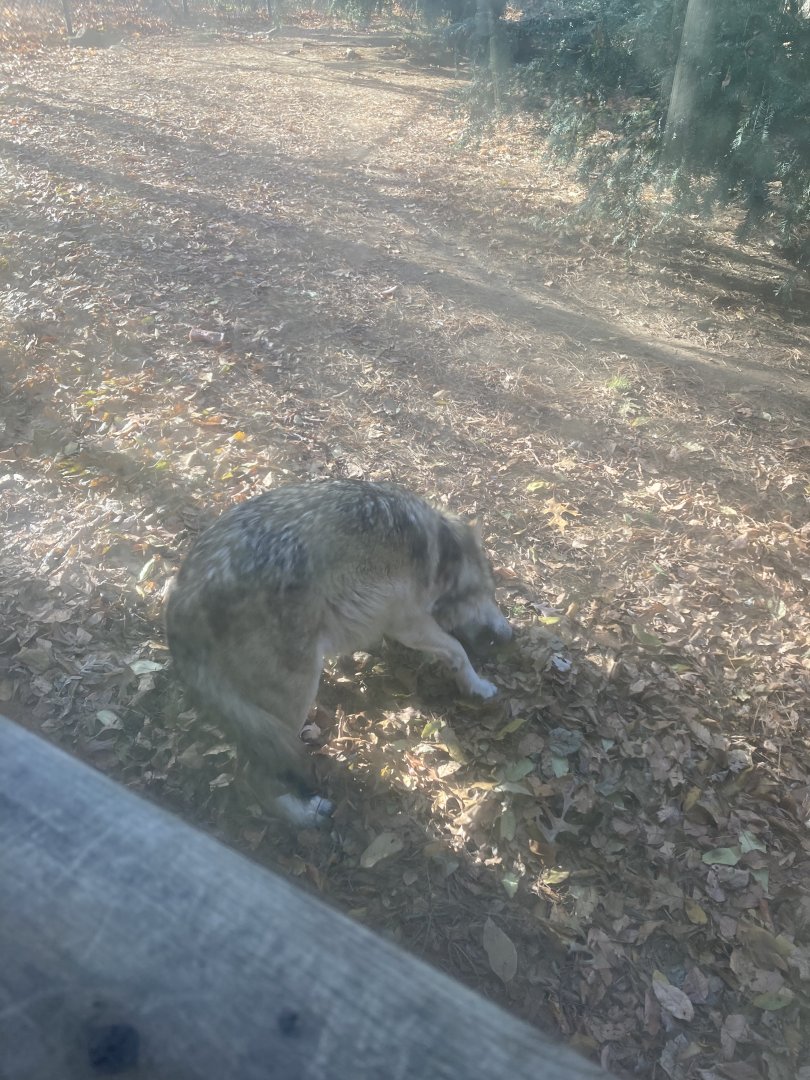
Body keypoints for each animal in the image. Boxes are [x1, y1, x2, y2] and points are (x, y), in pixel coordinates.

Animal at [165, 479, 512, 826]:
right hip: (296, 693)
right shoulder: (409, 624)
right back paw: (306, 815)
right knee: (251, 777)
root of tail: (179, 603)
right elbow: (458, 650)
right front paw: (478, 686)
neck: (439, 551)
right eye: (491, 593)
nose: (509, 634)